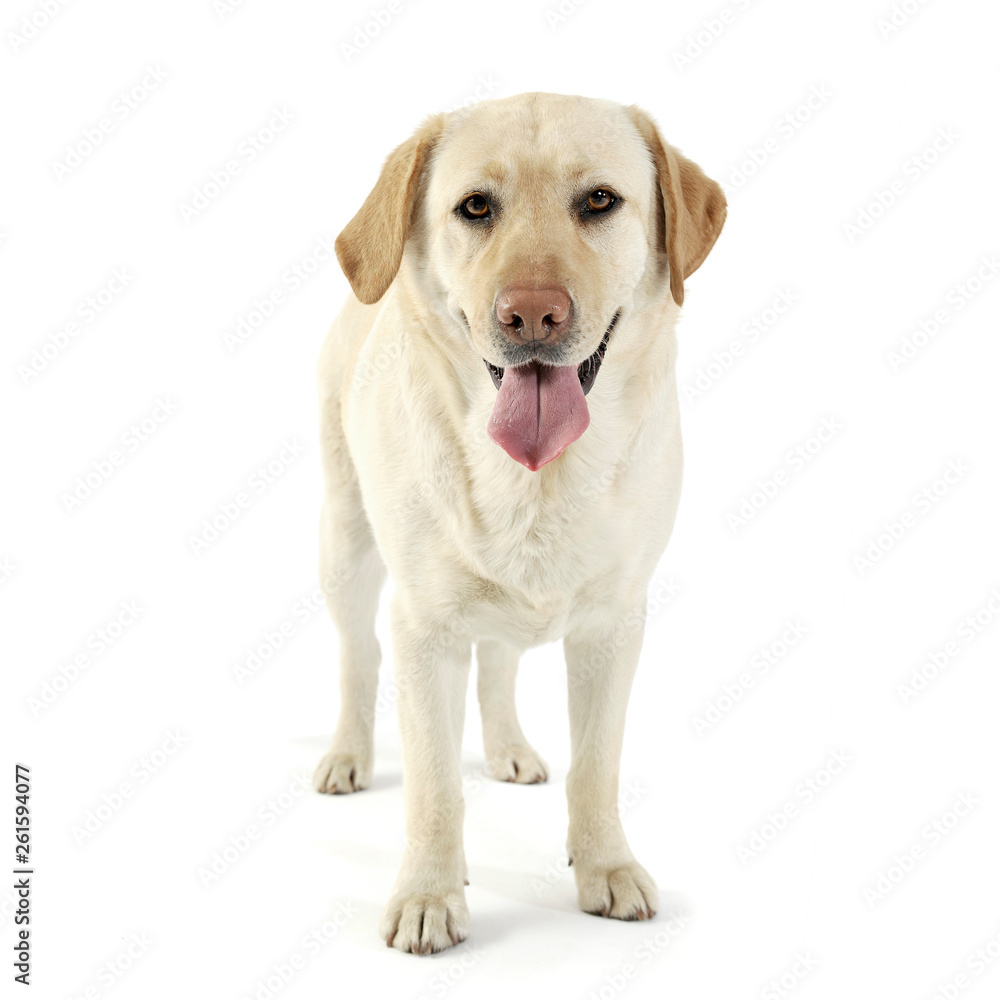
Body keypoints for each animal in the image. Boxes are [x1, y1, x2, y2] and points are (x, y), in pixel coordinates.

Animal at [312, 92, 728, 952]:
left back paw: (507, 749)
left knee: (499, 664)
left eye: (599, 200)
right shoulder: (423, 631)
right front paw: (429, 893)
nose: (532, 314)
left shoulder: (614, 626)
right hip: (344, 545)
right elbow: (434, 785)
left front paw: (605, 867)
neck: (537, 482)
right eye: (475, 207)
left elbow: (596, 767)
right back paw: (347, 755)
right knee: (356, 657)